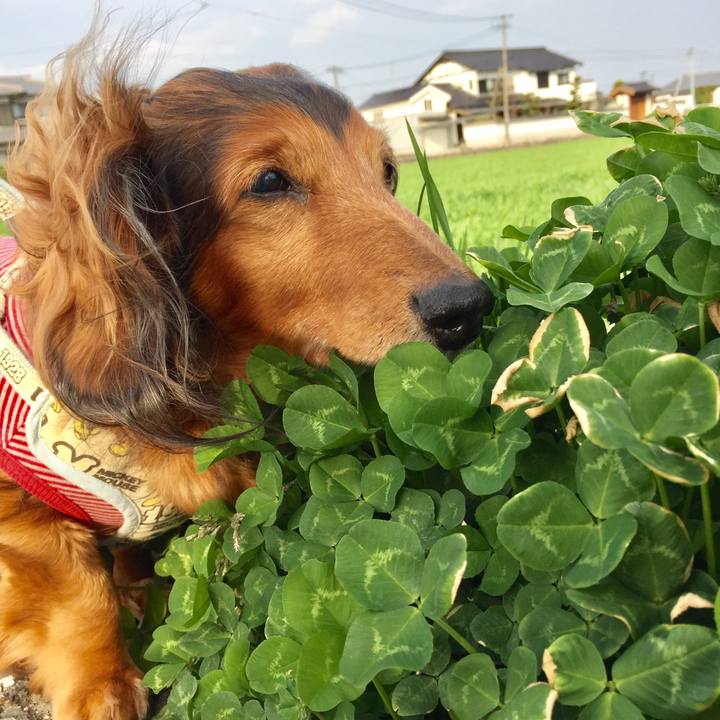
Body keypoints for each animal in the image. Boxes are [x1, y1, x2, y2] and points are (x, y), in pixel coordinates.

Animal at [0, 25, 493, 720]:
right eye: (270, 181)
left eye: (389, 172)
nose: (467, 308)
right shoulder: (20, 512)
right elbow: (77, 593)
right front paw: (100, 687)